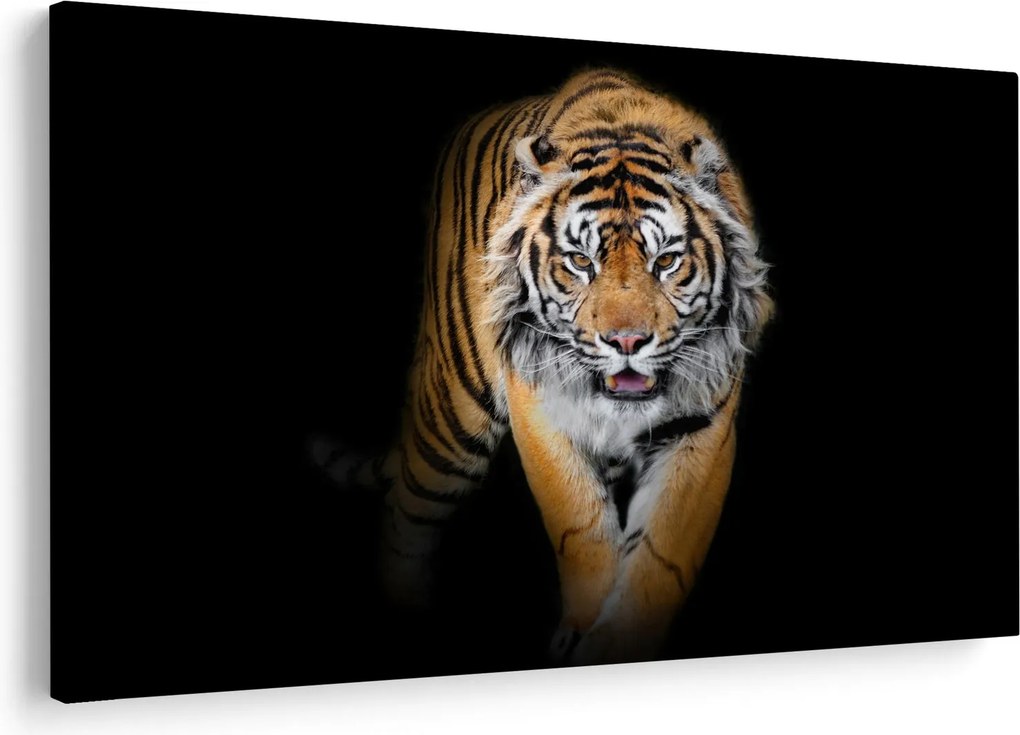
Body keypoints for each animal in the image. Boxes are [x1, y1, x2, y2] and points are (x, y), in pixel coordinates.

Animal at [315, 68, 772, 666]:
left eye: (666, 261)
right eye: (580, 262)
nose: (626, 340)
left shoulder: (703, 426)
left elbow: (661, 556)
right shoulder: (540, 406)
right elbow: (581, 525)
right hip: (454, 416)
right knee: (404, 513)